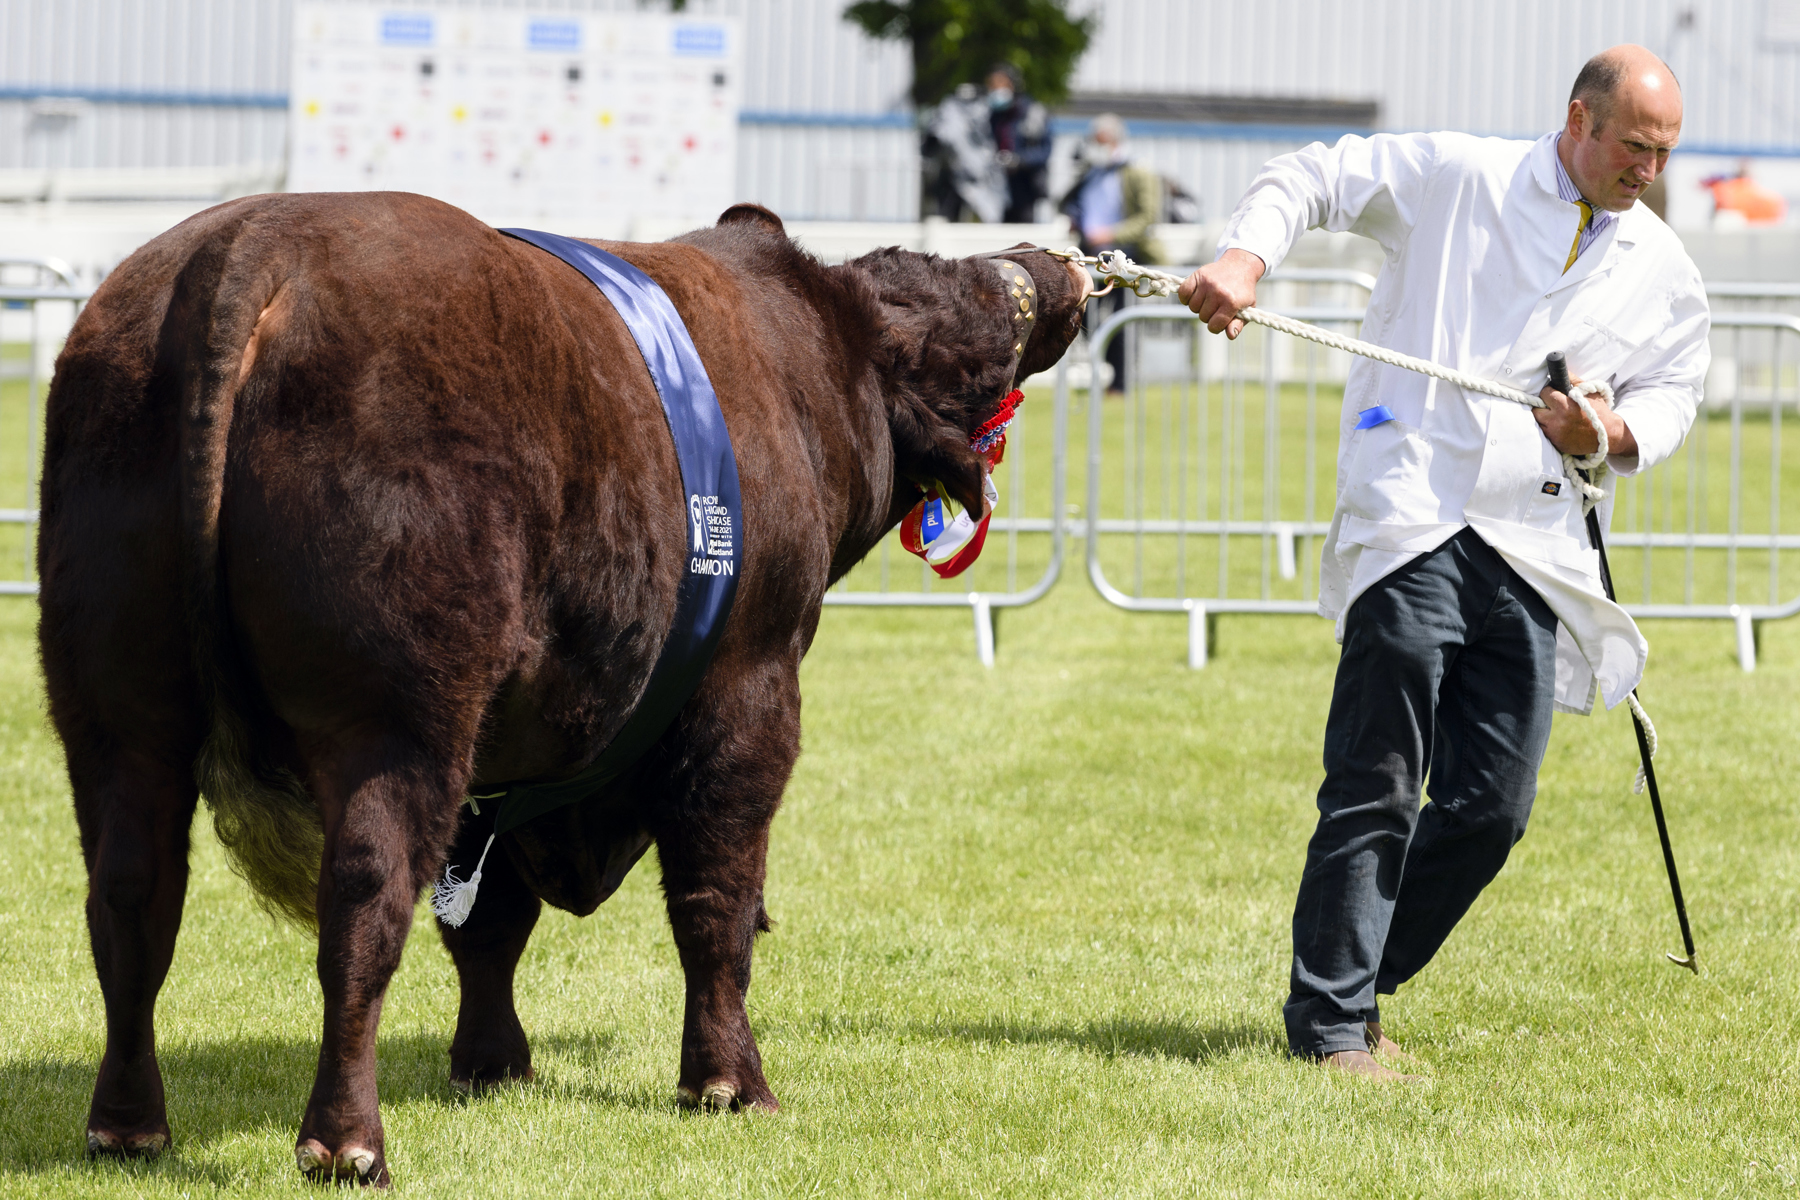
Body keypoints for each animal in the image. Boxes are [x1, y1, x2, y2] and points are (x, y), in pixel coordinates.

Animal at [38, 192, 1080, 1187]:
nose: (1054, 264)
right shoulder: (749, 688)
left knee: (131, 900)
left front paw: (492, 1064)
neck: (808, 366)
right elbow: (718, 899)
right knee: (363, 902)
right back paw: (347, 1143)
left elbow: (488, 920)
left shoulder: (501, 764)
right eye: (965, 326)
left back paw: (128, 1126)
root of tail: (256, 242)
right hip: (395, 717)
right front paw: (726, 1084)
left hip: (116, 709)